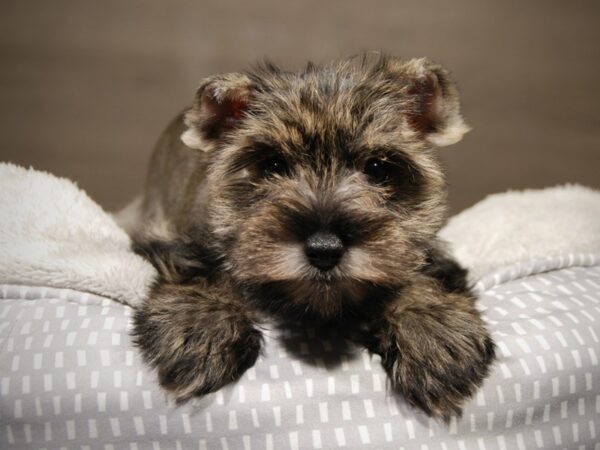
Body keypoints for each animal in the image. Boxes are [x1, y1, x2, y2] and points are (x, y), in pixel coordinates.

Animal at [123, 54, 496, 420]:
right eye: (272, 166)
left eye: (377, 168)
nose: (325, 249)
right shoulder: (178, 241)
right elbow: (203, 271)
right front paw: (202, 328)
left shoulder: (422, 248)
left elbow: (423, 275)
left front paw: (434, 335)